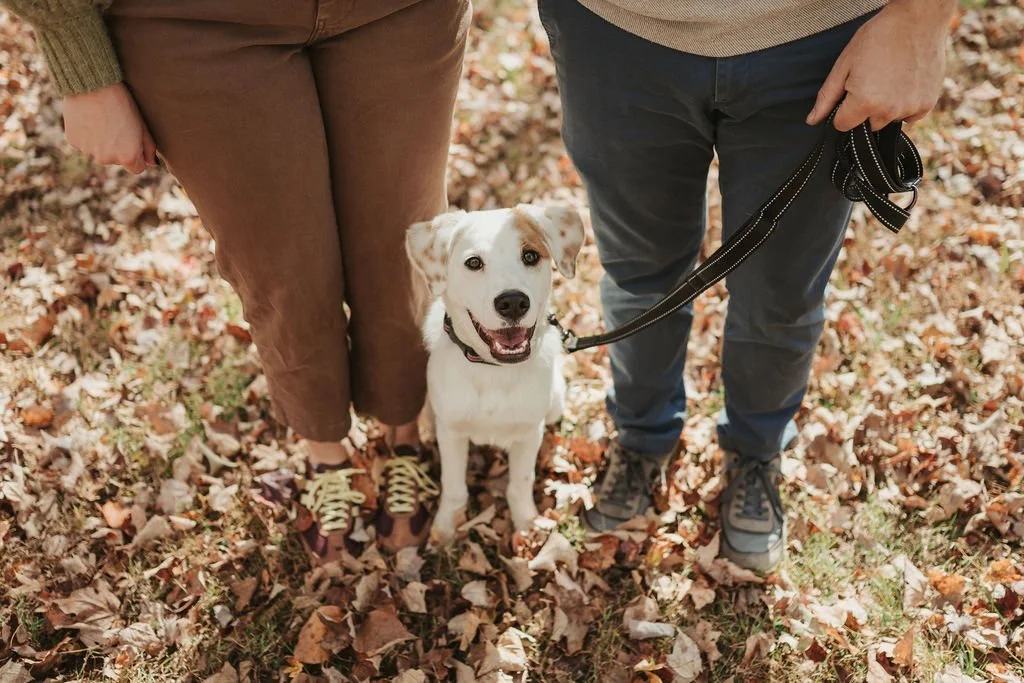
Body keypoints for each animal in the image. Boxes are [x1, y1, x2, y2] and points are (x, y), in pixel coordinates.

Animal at [406, 204, 585, 543]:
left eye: (530, 256)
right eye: (474, 263)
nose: (513, 302)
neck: (494, 371)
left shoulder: (530, 432)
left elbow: (521, 483)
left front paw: (526, 526)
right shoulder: (451, 431)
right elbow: (453, 487)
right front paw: (445, 529)